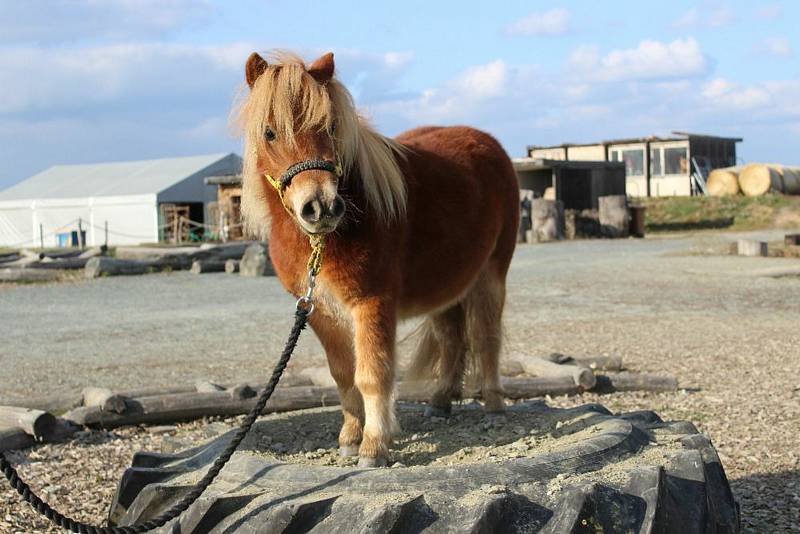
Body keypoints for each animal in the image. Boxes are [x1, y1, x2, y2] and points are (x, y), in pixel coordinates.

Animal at [234, 51, 520, 468]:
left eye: (331, 126)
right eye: (269, 133)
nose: (321, 207)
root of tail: (489, 144)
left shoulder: (372, 302)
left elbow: (373, 374)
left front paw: (374, 447)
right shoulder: (320, 311)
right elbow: (343, 374)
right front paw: (350, 438)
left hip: (491, 274)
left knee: (486, 338)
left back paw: (495, 406)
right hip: (448, 285)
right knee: (452, 339)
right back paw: (440, 402)